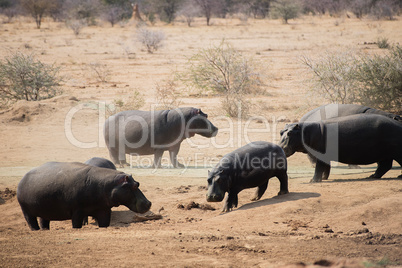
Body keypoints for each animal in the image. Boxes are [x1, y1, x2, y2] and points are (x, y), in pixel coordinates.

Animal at [16, 161, 152, 230]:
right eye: (133, 186)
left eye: (137, 183)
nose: (149, 203)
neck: (108, 185)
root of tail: (23, 178)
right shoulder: (77, 211)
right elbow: (76, 225)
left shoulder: (103, 210)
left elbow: (104, 223)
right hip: (26, 211)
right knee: (32, 223)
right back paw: (36, 230)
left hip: (44, 211)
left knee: (44, 221)